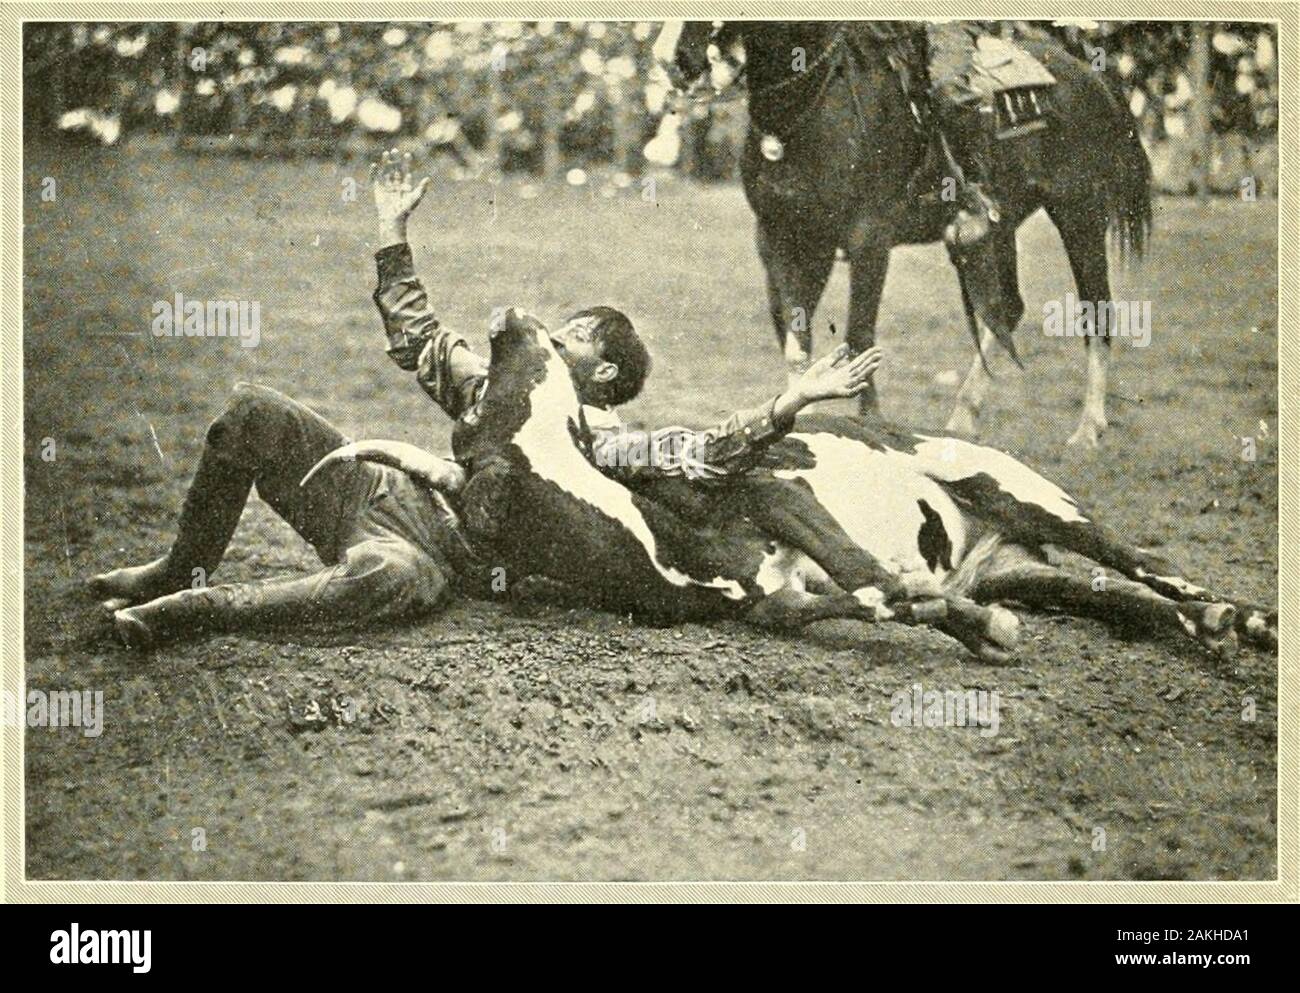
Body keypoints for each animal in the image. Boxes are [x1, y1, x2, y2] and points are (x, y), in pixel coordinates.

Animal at [312, 310, 1279, 662]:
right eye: (480, 409)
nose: (509, 321)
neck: (669, 542)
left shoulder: (779, 494)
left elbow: (874, 578)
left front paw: (973, 627)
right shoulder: (777, 603)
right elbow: (874, 596)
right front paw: (974, 624)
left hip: (1023, 488)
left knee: (1147, 560)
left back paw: (1244, 617)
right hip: (1025, 565)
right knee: (1124, 598)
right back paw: (1211, 627)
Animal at [655, 21, 1154, 447]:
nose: (671, 59)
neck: (813, 105)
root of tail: (1091, 75)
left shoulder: (868, 240)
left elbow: (859, 336)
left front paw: (871, 421)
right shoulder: (786, 238)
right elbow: (796, 340)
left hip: (1079, 211)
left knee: (1097, 309)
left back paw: (1088, 428)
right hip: (1001, 226)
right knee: (1007, 308)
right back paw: (962, 419)